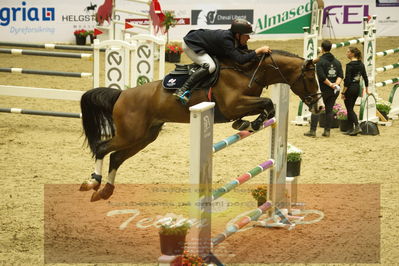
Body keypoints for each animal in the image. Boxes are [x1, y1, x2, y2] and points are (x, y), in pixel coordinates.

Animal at [79, 50, 324, 201]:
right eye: (310, 79)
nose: (320, 107)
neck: (249, 72)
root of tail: (121, 94)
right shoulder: (233, 104)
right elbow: (267, 102)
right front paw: (252, 122)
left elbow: (267, 106)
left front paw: (248, 122)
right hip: (131, 134)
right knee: (102, 148)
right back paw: (92, 183)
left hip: (145, 136)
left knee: (116, 157)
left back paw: (104, 191)